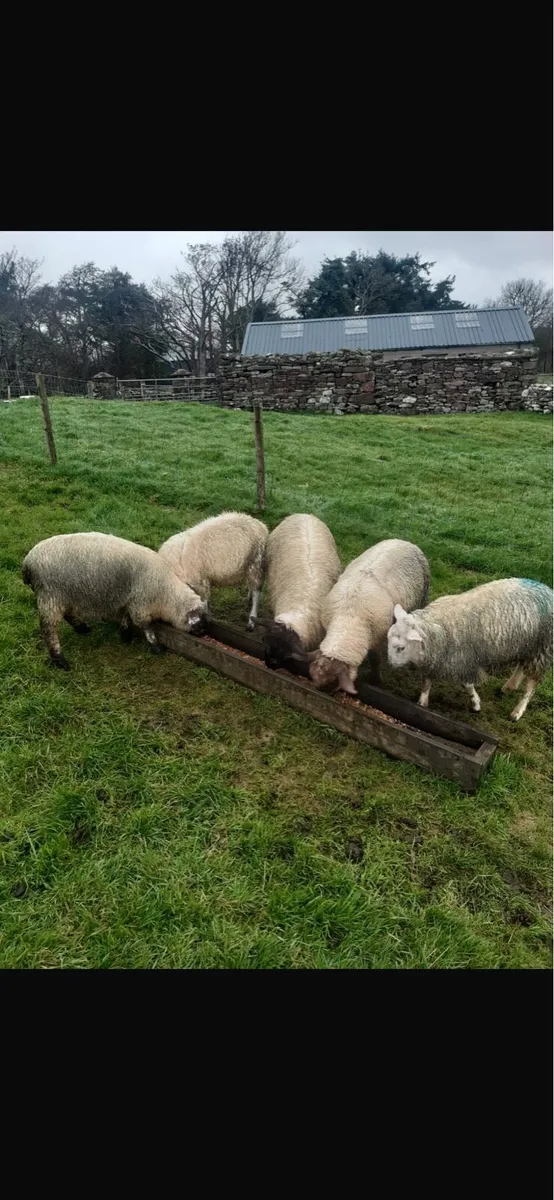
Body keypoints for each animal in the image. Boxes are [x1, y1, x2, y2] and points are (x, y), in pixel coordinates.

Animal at [22, 532, 206, 670]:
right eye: (200, 623)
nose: (203, 635)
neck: (167, 594)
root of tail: (28, 562)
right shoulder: (141, 603)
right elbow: (146, 626)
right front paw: (156, 647)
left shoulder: (129, 600)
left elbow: (125, 618)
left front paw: (125, 636)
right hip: (51, 596)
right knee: (49, 629)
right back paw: (59, 660)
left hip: (63, 595)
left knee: (68, 615)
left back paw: (82, 629)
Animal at [299, 539, 430, 694]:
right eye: (313, 675)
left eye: (333, 682)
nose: (321, 689)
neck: (349, 617)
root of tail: (403, 540)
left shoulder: (378, 636)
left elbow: (375, 660)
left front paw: (376, 681)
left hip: (423, 596)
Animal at [387, 577, 553, 721]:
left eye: (401, 648)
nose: (391, 664)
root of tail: (547, 590)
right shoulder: (436, 656)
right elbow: (426, 681)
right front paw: (422, 702)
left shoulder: (464, 659)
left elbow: (466, 684)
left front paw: (476, 704)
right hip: (528, 646)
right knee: (521, 666)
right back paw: (509, 686)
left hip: (542, 649)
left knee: (532, 685)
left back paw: (517, 712)